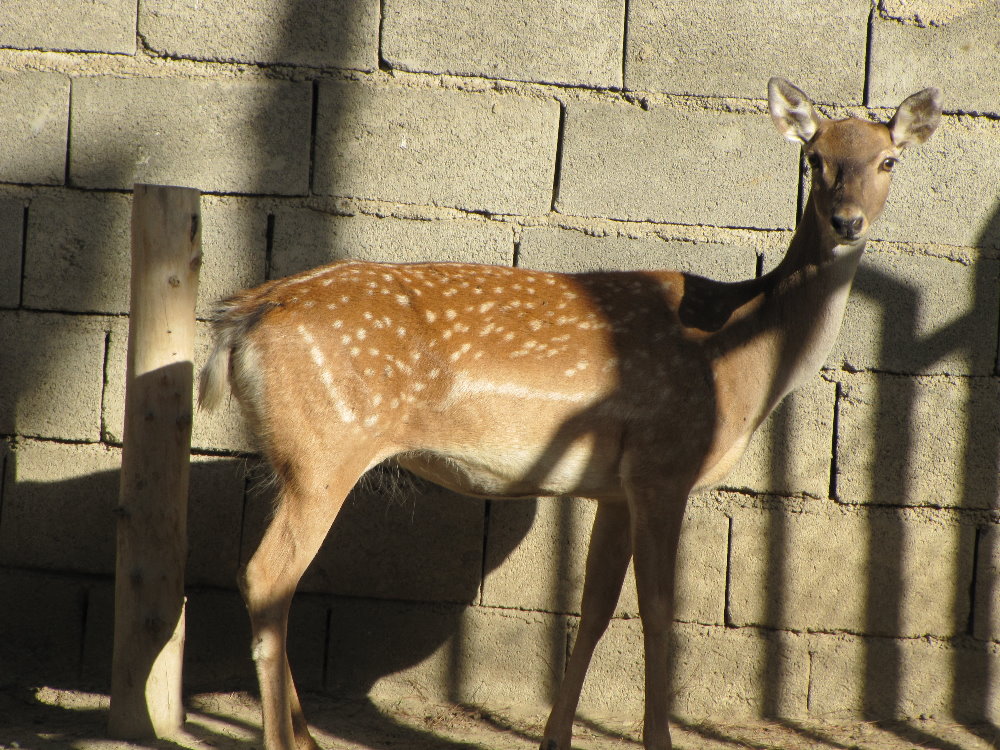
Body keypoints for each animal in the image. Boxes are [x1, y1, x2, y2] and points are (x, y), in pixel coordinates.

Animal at [198, 78, 941, 750]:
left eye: (888, 160)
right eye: (814, 158)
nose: (848, 222)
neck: (743, 354)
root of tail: (241, 320)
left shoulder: (614, 487)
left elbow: (596, 607)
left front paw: (556, 736)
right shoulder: (665, 466)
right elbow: (659, 610)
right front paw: (658, 741)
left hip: (295, 456)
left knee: (269, 581)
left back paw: (308, 736)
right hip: (324, 450)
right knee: (268, 576)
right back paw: (284, 739)